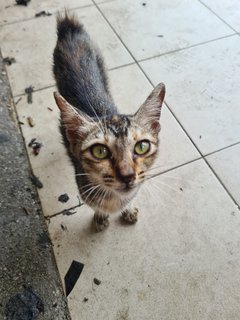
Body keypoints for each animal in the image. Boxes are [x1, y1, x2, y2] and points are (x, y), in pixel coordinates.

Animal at [52, 13, 165, 232]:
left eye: (142, 147)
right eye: (99, 151)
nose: (128, 176)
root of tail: (70, 29)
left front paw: (128, 209)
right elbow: (97, 206)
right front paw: (101, 216)